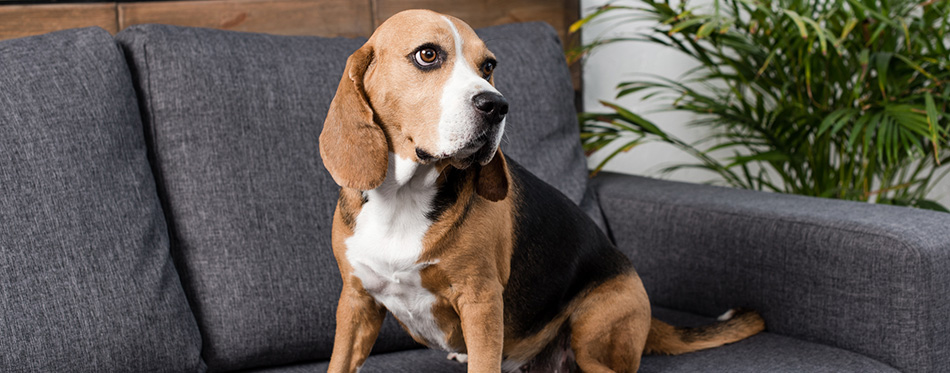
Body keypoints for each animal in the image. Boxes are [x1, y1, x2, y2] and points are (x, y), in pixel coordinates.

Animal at [320, 8, 768, 372]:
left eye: (488, 66)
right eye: (427, 55)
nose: (496, 105)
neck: (404, 198)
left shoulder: (481, 303)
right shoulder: (356, 303)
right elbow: (339, 360)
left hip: (593, 333)